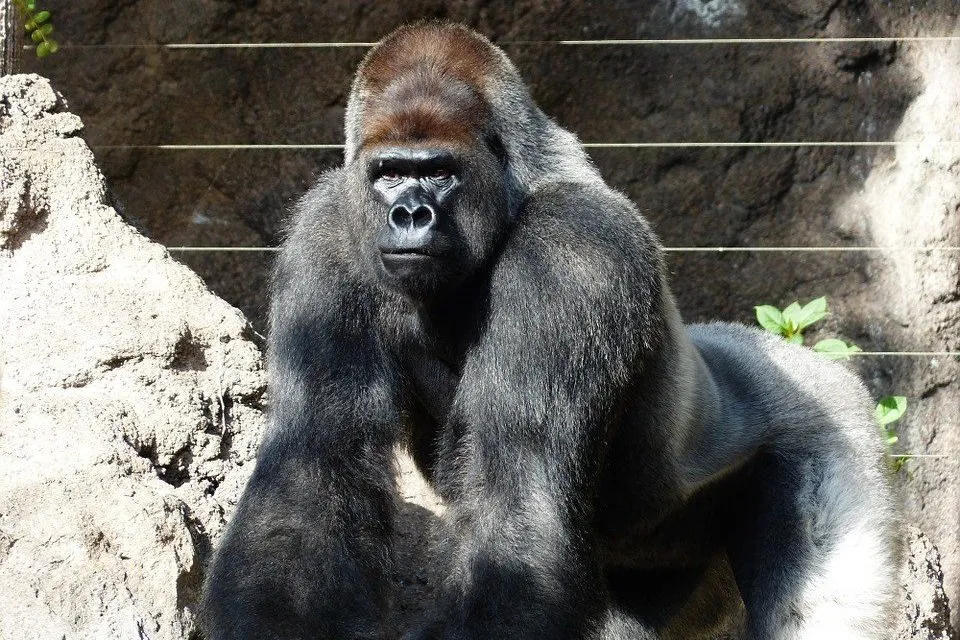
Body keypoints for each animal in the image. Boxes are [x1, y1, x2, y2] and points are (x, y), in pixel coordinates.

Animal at [201, 22, 901, 640]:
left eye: (439, 171)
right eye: (389, 174)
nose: (409, 214)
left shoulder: (574, 250)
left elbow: (517, 507)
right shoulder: (325, 236)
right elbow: (309, 473)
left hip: (832, 427)